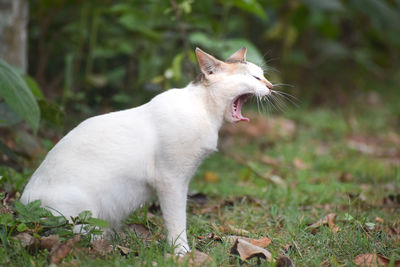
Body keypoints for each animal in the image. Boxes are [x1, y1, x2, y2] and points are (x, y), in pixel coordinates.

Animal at [20, 47, 274, 255]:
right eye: (255, 77)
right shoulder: (171, 180)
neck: (201, 108)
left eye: (263, 75)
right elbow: (176, 220)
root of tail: (20, 206)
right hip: (79, 214)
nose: (271, 86)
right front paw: (181, 252)